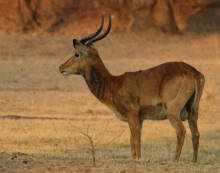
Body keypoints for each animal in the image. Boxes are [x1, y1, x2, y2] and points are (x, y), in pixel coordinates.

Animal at [58, 14, 205, 162]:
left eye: (76, 54)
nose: (61, 67)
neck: (114, 83)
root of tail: (194, 73)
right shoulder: (139, 119)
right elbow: (132, 143)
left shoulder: (132, 115)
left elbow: (136, 142)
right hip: (193, 111)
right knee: (196, 134)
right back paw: (194, 161)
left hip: (172, 111)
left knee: (181, 131)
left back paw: (174, 161)